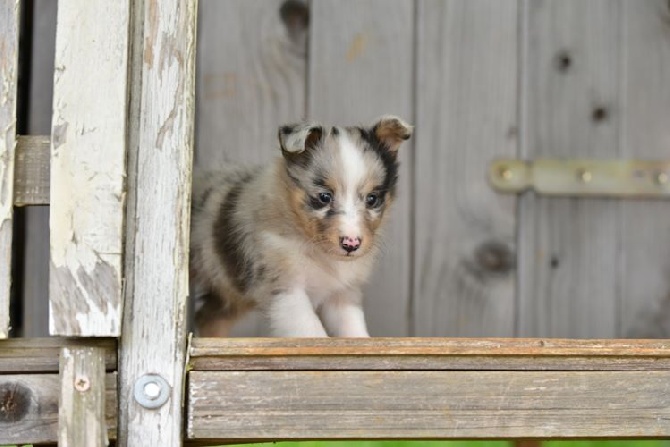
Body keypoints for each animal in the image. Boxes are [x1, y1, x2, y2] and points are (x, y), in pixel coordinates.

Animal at [190, 114, 414, 336]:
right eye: (324, 197)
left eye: (372, 199)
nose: (351, 244)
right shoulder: (286, 288)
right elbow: (311, 330)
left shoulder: (341, 293)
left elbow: (352, 329)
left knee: (207, 318)